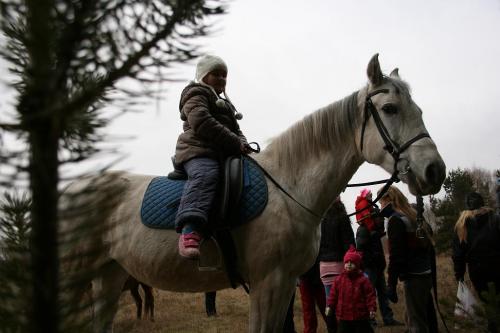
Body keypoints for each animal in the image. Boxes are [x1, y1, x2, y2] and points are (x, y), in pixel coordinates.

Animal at [62, 55, 446, 332]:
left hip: (108, 275)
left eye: (419, 110)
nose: (435, 172)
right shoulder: (268, 282)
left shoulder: (286, 283)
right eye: (390, 109)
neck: (290, 188)